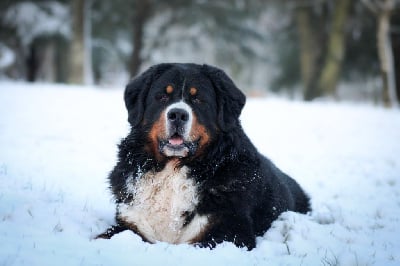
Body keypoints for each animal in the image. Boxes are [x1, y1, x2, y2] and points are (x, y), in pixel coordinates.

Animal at [96, 63, 310, 250]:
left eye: (198, 99)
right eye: (162, 96)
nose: (177, 114)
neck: (173, 168)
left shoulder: (229, 232)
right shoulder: (131, 222)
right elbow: (103, 237)